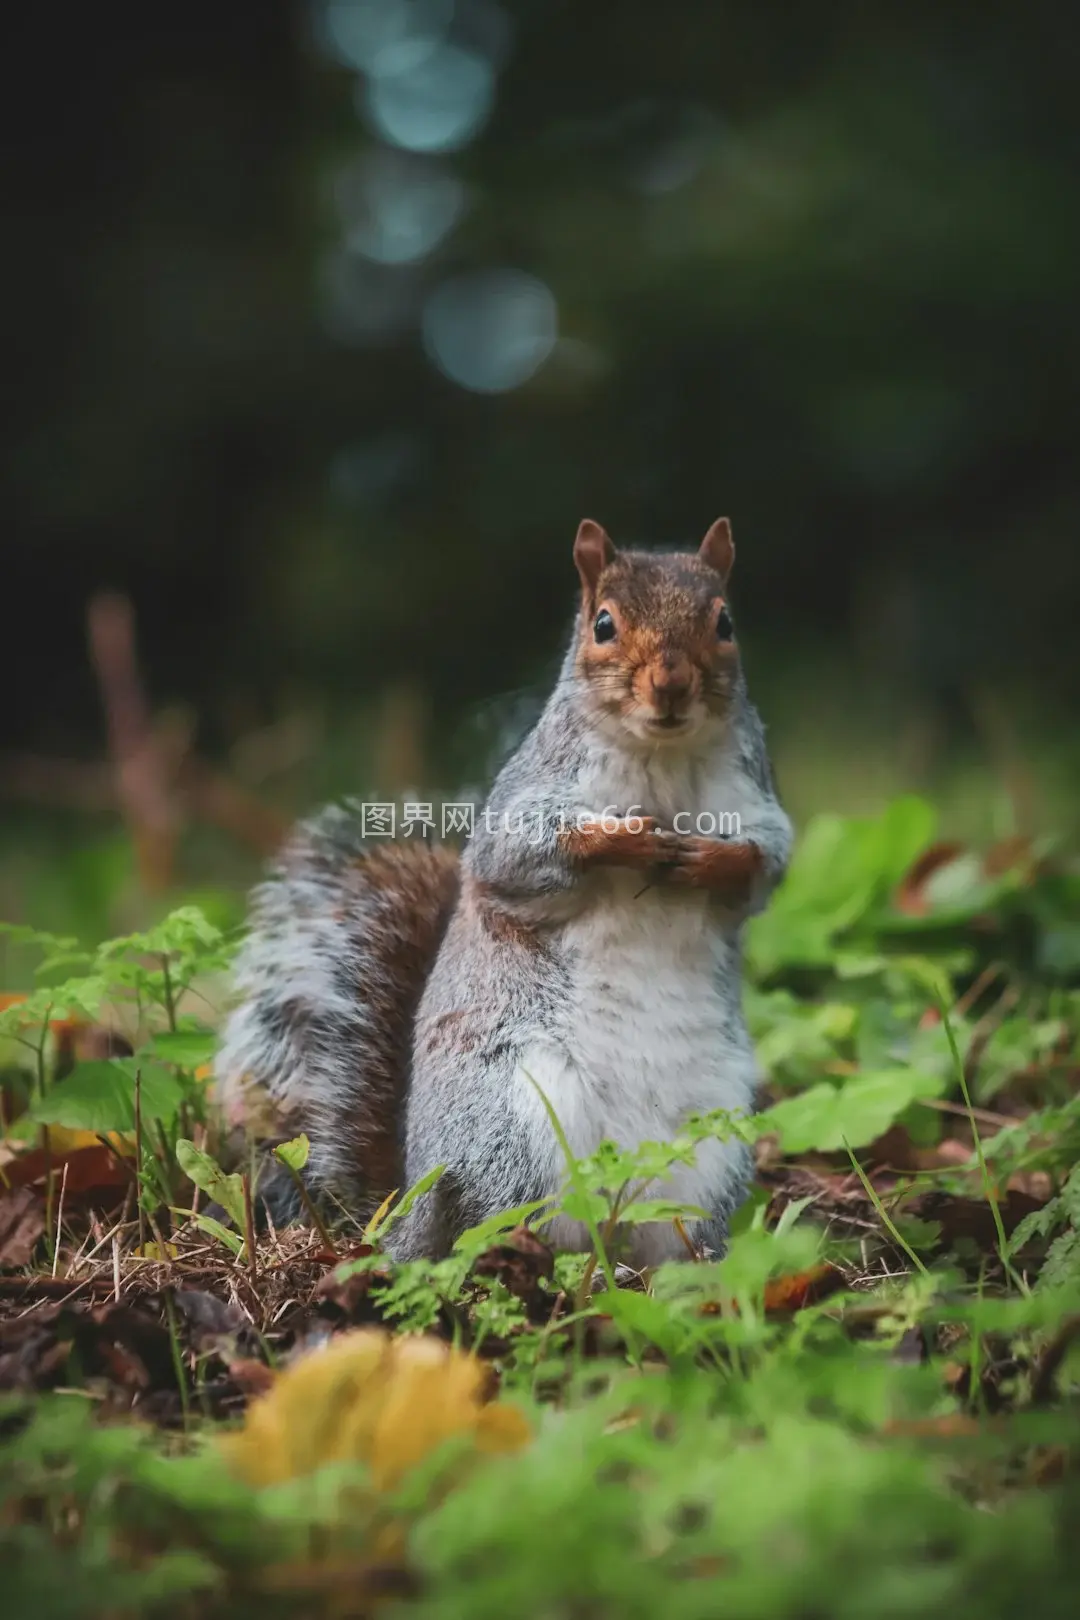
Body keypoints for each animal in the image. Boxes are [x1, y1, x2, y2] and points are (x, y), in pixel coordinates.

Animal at [220, 518, 793, 1263]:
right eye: (603, 624)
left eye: (725, 622)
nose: (670, 683)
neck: (662, 760)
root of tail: (410, 1203)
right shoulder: (527, 801)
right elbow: (514, 858)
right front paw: (625, 839)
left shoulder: (756, 800)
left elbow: (765, 864)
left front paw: (709, 858)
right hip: (512, 1118)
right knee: (490, 1218)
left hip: (712, 1140)